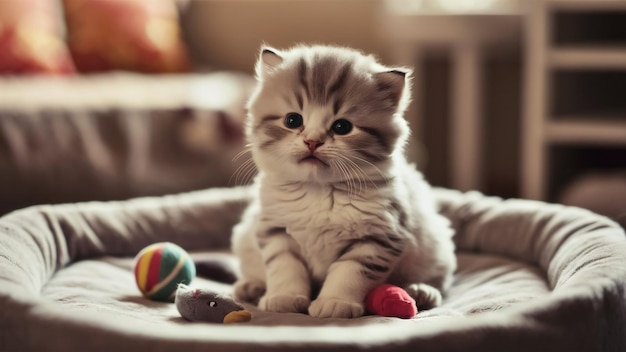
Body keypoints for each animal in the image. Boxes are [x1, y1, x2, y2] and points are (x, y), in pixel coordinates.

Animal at [230, 44, 454, 320]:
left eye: (342, 127)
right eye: (293, 120)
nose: (312, 141)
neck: (318, 190)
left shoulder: (378, 237)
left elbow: (349, 272)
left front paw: (335, 302)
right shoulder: (275, 230)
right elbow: (285, 267)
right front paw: (285, 297)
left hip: (435, 245)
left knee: (438, 279)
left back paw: (422, 291)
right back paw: (251, 287)